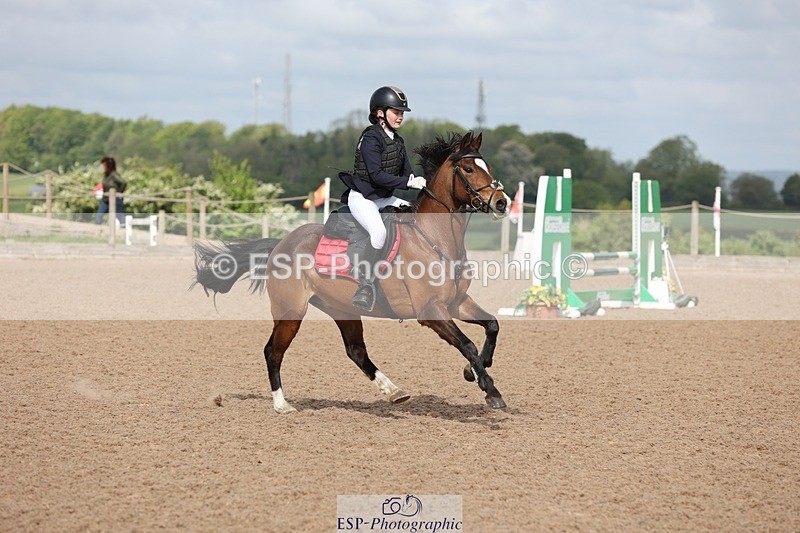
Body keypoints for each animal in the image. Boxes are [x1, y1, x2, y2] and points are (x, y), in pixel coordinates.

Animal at [193, 131, 511, 413]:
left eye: (489, 168)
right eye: (468, 169)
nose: (502, 202)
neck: (434, 238)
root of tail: (281, 244)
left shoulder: (456, 303)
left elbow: (492, 325)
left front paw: (475, 372)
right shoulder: (431, 311)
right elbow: (467, 344)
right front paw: (489, 389)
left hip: (341, 308)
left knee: (356, 351)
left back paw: (393, 391)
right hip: (291, 311)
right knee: (273, 351)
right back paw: (282, 405)